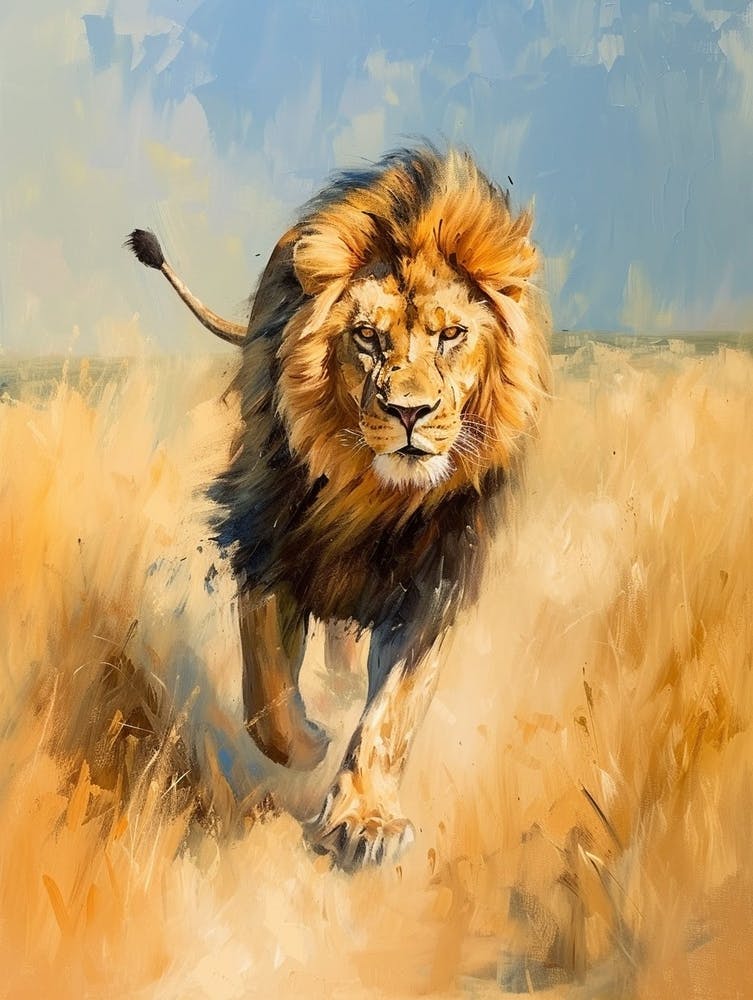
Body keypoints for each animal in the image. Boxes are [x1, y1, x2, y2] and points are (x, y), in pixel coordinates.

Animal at [126, 145, 551, 871]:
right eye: (367, 338)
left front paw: (364, 821)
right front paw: (308, 743)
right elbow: (265, 689)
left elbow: (391, 713)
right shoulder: (268, 544)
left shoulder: (434, 580)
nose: (410, 412)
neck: (373, 497)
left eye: (452, 335)